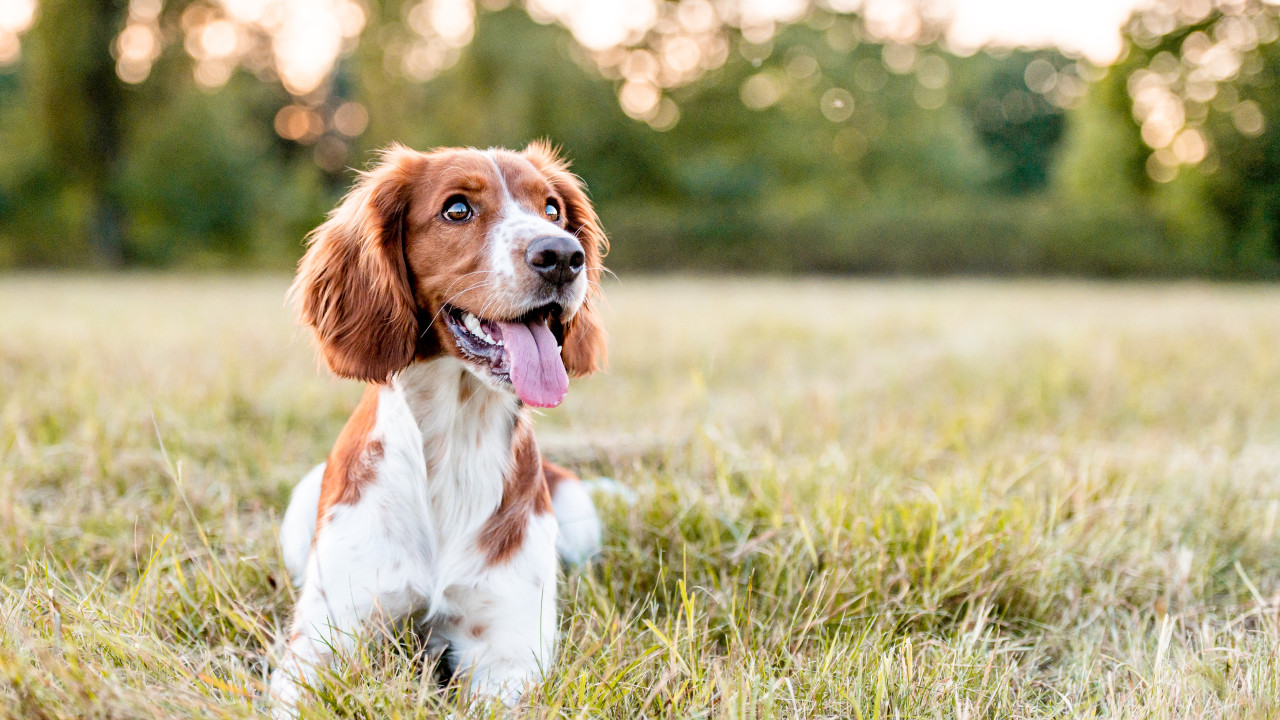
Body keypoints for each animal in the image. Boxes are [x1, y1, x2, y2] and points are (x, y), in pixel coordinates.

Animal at [268, 140, 604, 712]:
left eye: (552, 209)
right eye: (457, 209)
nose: (562, 255)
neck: (456, 440)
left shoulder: (508, 653)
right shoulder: (322, 640)